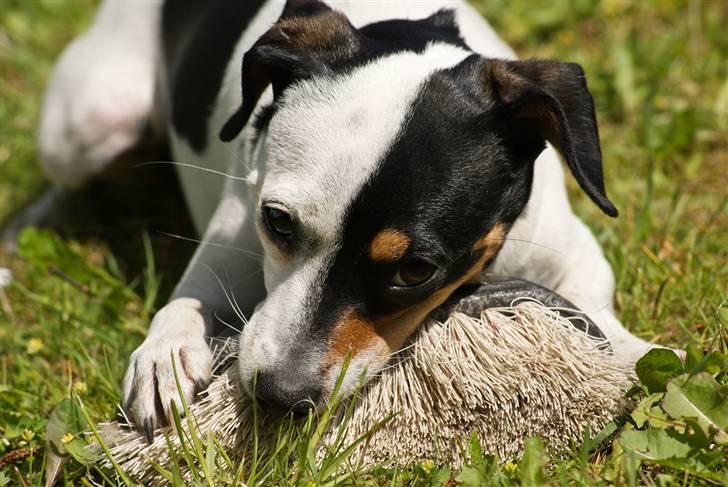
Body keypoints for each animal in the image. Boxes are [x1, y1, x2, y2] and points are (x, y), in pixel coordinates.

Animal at [15, 0, 660, 434]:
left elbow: (605, 318)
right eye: (277, 222)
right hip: (90, 121)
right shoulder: (232, 237)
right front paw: (165, 355)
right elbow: (185, 303)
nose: (279, 395)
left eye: (416, 270)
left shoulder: (568, 247)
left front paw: (635, 351)